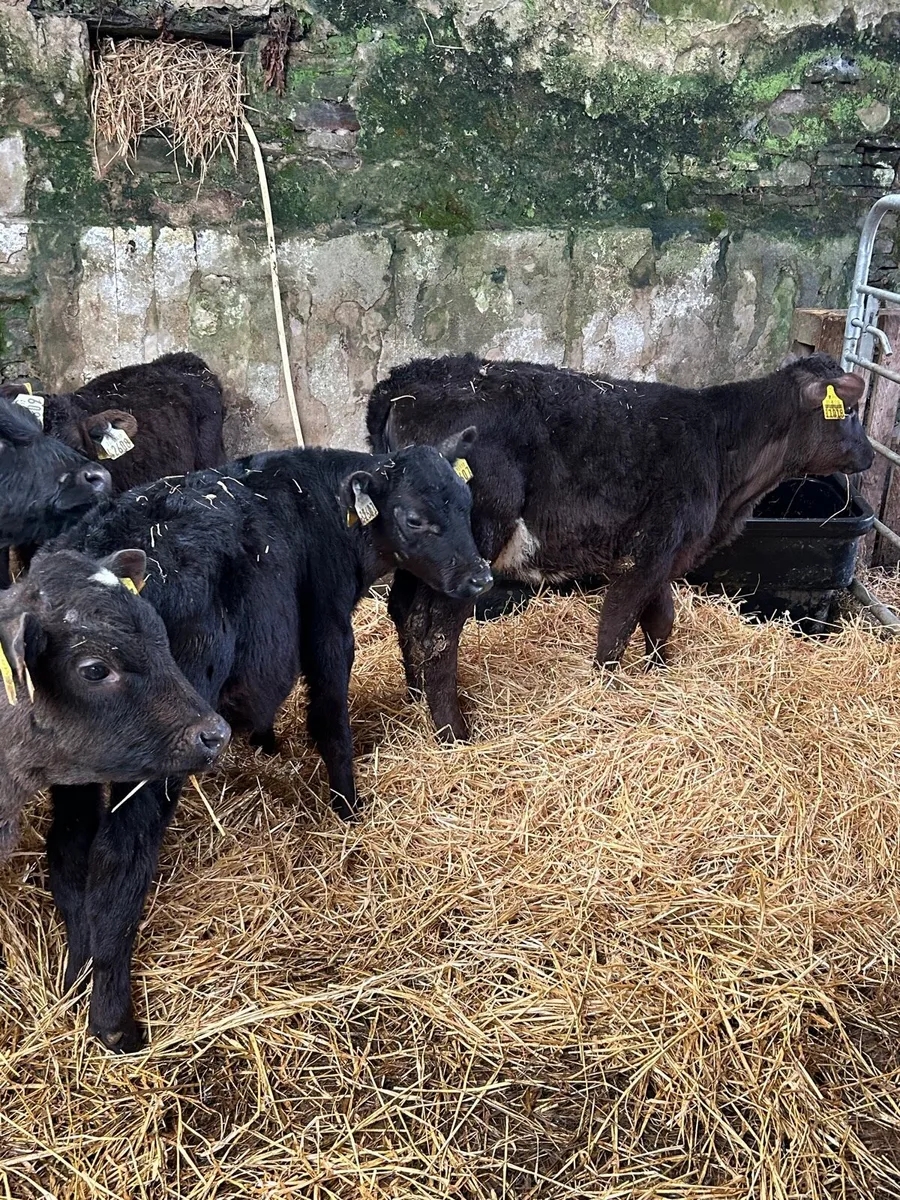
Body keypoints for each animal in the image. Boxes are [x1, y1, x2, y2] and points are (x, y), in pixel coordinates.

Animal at [46, 433, 491, 1050]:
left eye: (466, 506)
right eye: (414, 518)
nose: (480, 579)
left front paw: (267, 743)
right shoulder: (328, 623)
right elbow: (330, 718)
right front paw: (349, 807)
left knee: (68, 850)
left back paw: (76, 976)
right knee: (116, 857)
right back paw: (114, 1022)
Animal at [367, 352, 874, 741]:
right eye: (849, 412)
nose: (870, 455)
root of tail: (399, 385)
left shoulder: (667, 553)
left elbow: (661, 618)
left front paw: (659, 673)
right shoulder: (647, 552)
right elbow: (616, 628)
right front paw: (607, 693)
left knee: (405, 611)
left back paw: (414, 697)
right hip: (473, 546)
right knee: (436, 631)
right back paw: (454, 733)